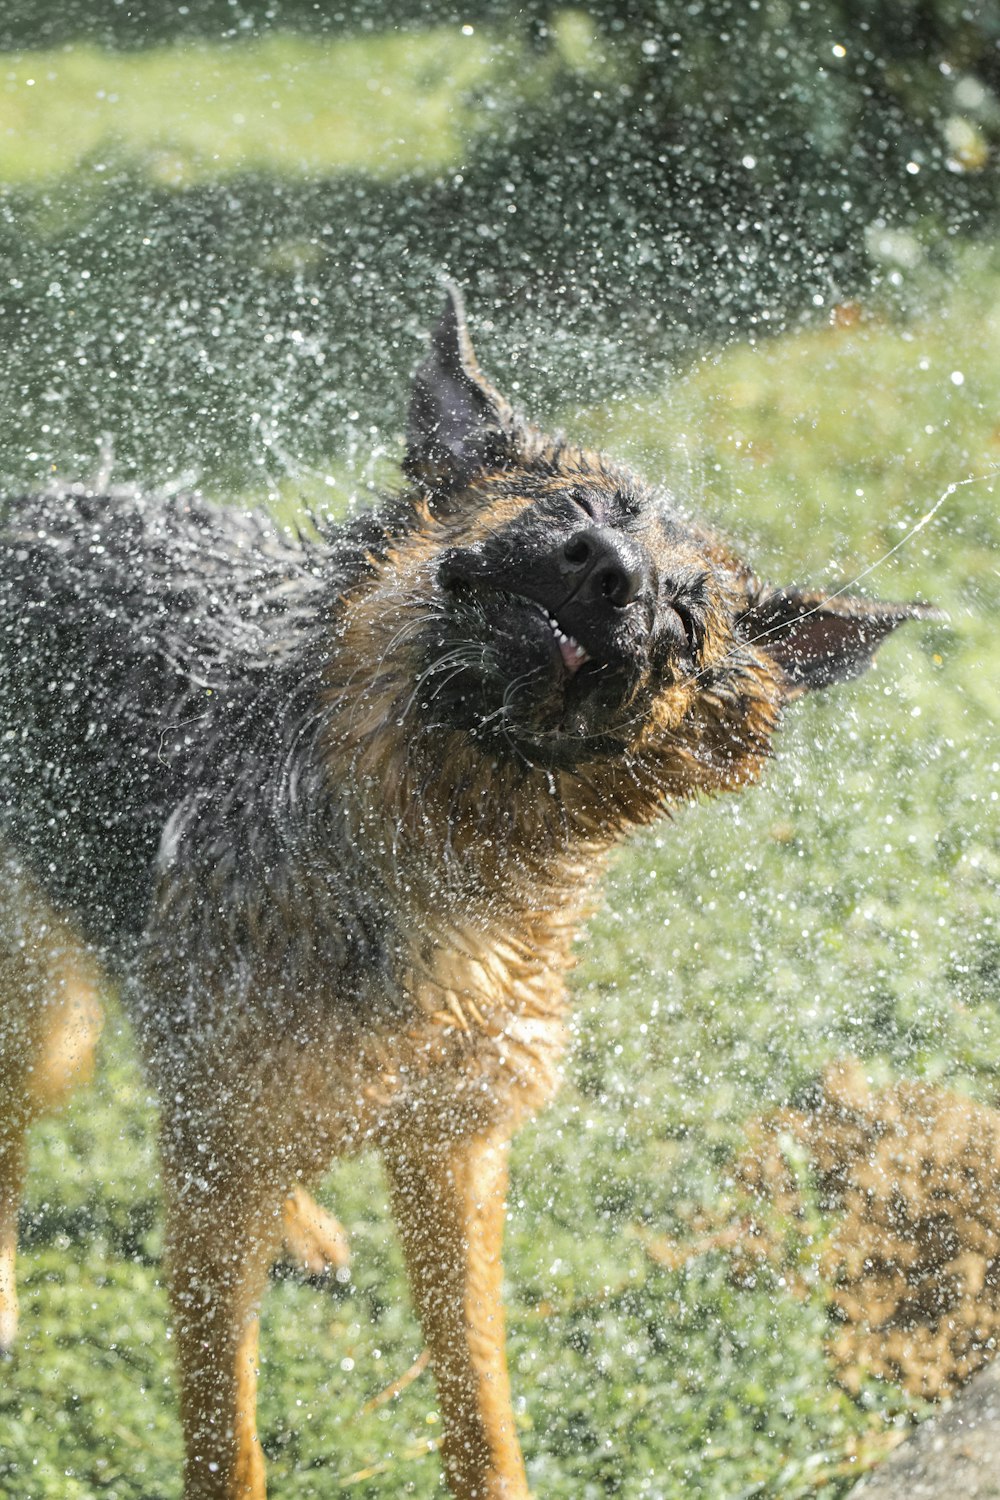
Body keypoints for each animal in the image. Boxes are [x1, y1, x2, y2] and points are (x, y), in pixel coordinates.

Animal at [0, 286, 929, 1494]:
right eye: (578, 504)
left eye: (686, 617)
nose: (610, 571)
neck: (433, 844)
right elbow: (224, 1434)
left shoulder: (455, 1144)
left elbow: (478, 1391)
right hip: (46, 1016)